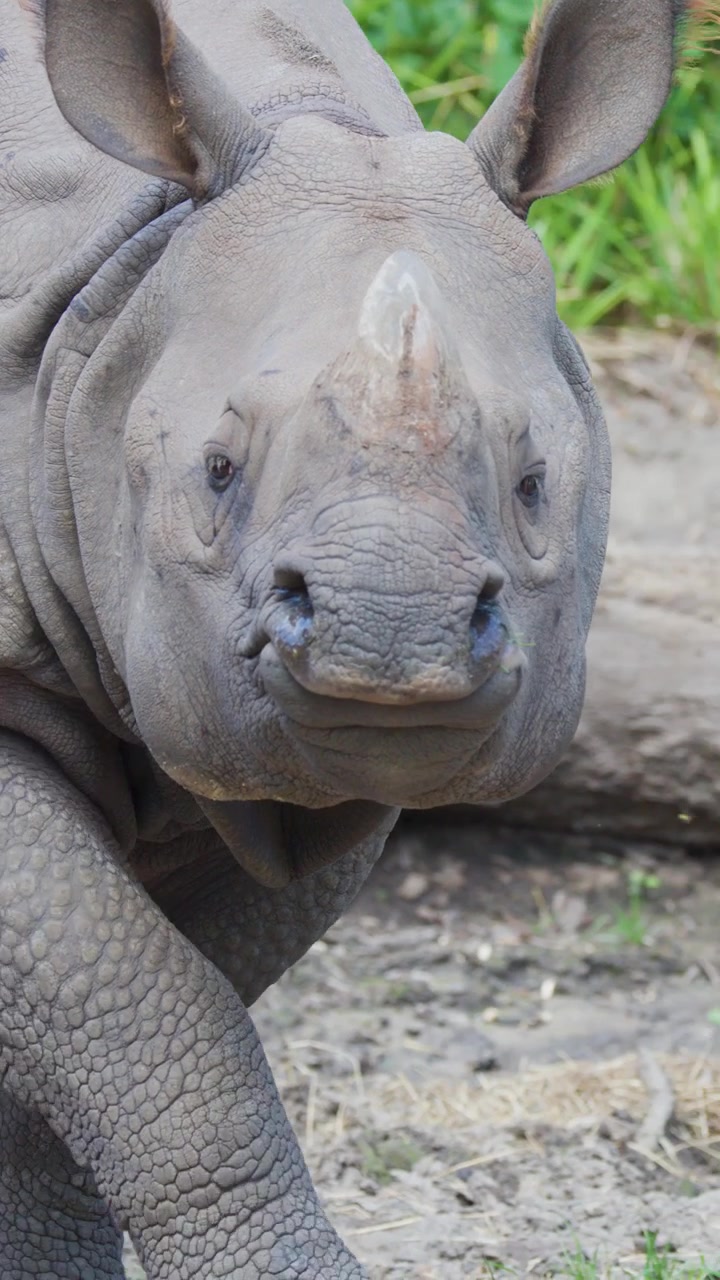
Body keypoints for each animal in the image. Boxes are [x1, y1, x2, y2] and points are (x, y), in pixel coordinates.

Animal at [0, 0, 685, 1275]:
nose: (390, 636)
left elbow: (132, 1014)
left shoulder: (314, 781)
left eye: (533, 479)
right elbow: (150, 1010)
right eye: (217, 469)